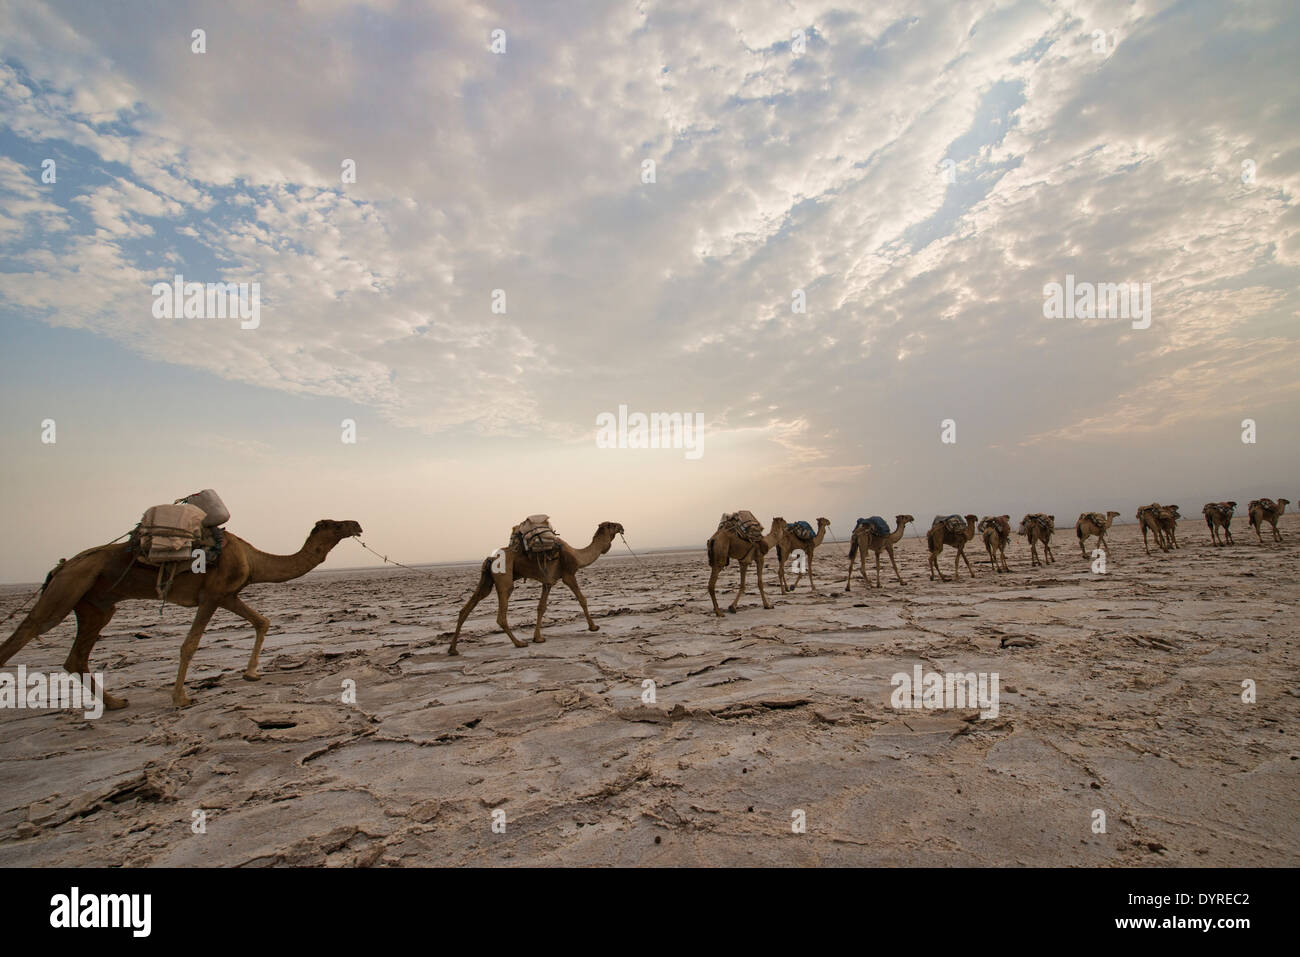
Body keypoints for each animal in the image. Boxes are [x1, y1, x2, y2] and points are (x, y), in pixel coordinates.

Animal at [0, 520, 361, 707]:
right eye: (334, 524)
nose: (356, 524)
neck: (253, 558)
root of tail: (61, 566)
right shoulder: (212, 595)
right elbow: (189, 645)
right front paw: (180, 696)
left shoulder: (228, 595)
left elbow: (263, 621)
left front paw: (251, 674)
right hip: (68, 589)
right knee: (25, 633)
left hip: (96, 605)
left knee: (76, 657)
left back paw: (115, 703)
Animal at [452, 520, 624, 655]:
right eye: (611, 525)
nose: (622, 527)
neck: (577, 555)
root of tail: (490, 558)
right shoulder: (568, 574)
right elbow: (582, 599)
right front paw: (594, 627)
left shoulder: (548, 582)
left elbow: (541, 607)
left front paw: (538, 638)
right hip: (504, 579)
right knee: (501, 613)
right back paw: (519, 643)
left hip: (486, 580)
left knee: (466, 608)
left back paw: (452, 650)